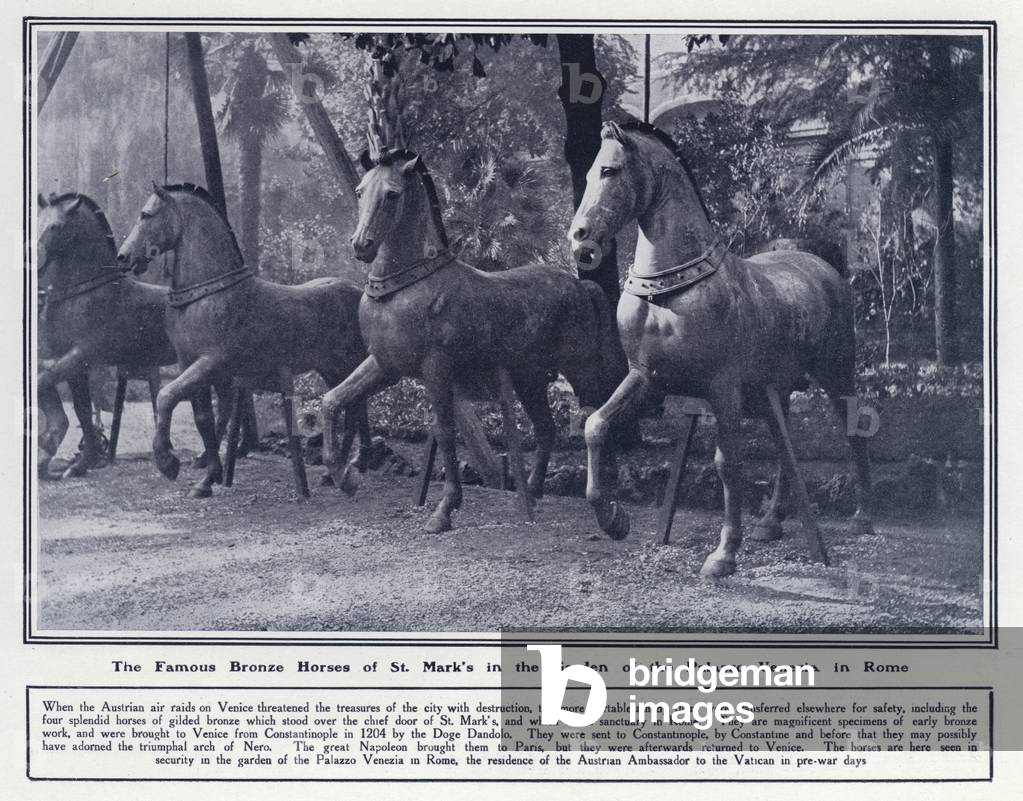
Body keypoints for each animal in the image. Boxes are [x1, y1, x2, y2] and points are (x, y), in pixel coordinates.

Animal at [115, 182, 372, 498]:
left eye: (146, 214)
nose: (123, 257)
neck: (207, 294)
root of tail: (358, 292)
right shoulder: (192, 366)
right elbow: (204, 418)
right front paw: (206, 479)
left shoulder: (210, 363)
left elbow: (167, 396)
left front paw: (168, 462)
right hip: (330, 369)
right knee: (351, 406)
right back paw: (336, 472)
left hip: (345, 364)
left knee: (353, 408)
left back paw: (342, 472)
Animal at [319, 146, 628, 534]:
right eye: (360, 191)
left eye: (392, 194)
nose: (362, 245)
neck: (403, 288)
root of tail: (580, 285)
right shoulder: (384, 367)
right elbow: (331, 401)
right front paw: (345, 477)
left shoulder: (436, 371)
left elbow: (445, 432)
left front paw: (444, 510)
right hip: (529, 380)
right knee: (546, 429)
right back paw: (532, 492)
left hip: (579, 370)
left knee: (594, 418)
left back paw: (609, 504)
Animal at [568, 120, 874, 579]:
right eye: (587, 174)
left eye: (610, 171)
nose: (580, 237)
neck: (669, 293)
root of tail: (826, 268)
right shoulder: (646, 378)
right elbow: (596, 425)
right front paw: (614, 519)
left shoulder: (722, 389)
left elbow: (727, 464)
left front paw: (724, 555)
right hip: (777, 389)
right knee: (785, 446)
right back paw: (771, 521)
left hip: (838, 375)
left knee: (853, 433)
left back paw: (862, 518)